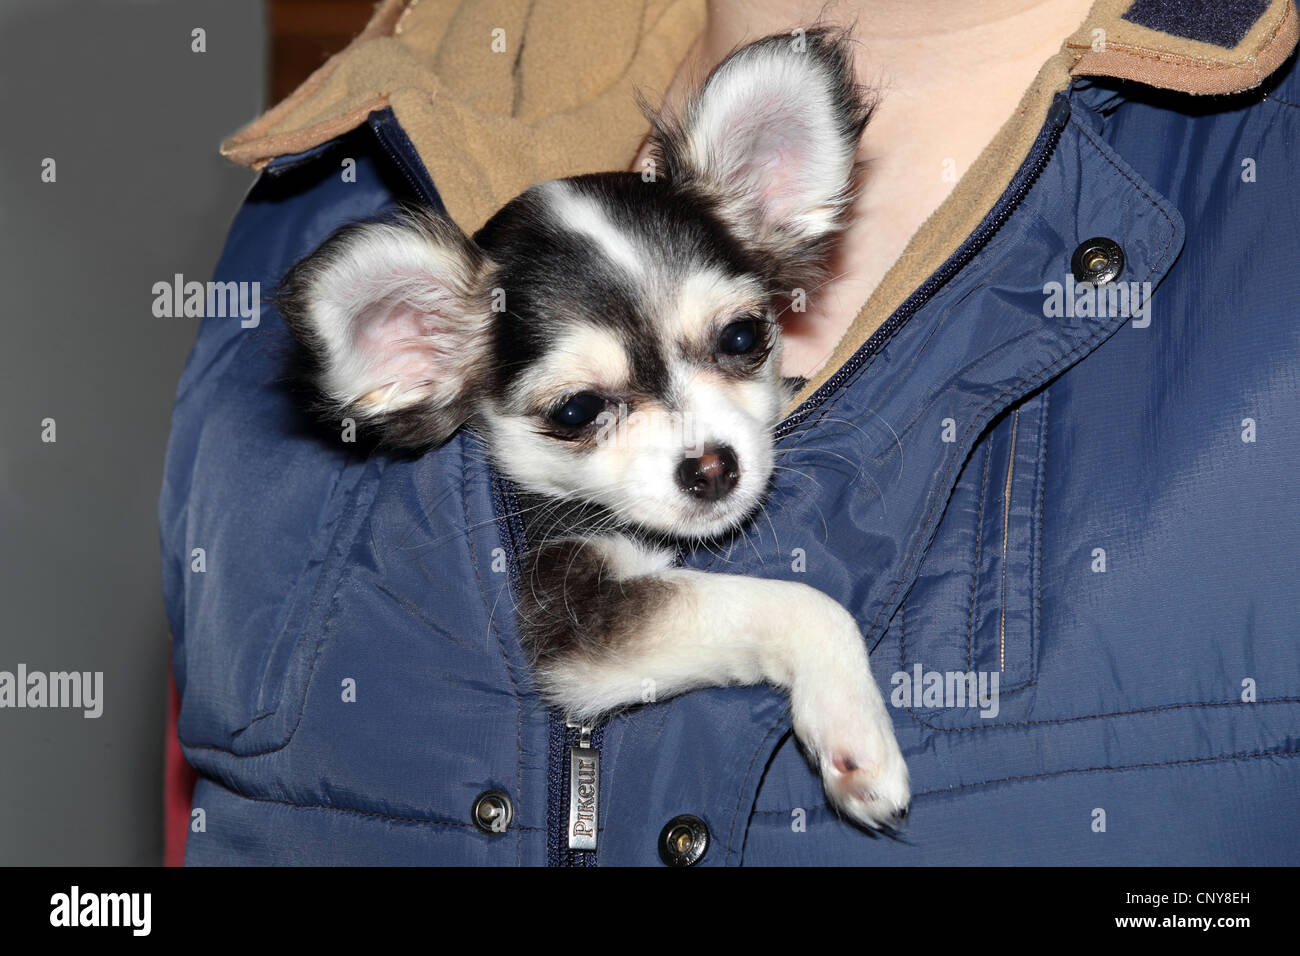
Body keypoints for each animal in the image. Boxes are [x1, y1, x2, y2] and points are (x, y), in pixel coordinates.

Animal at [282, 26, 915, 827]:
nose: (713, 468)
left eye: (742, 337)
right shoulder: (574, 626)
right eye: (577, 412)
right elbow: (798, 603)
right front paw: (853, 730)